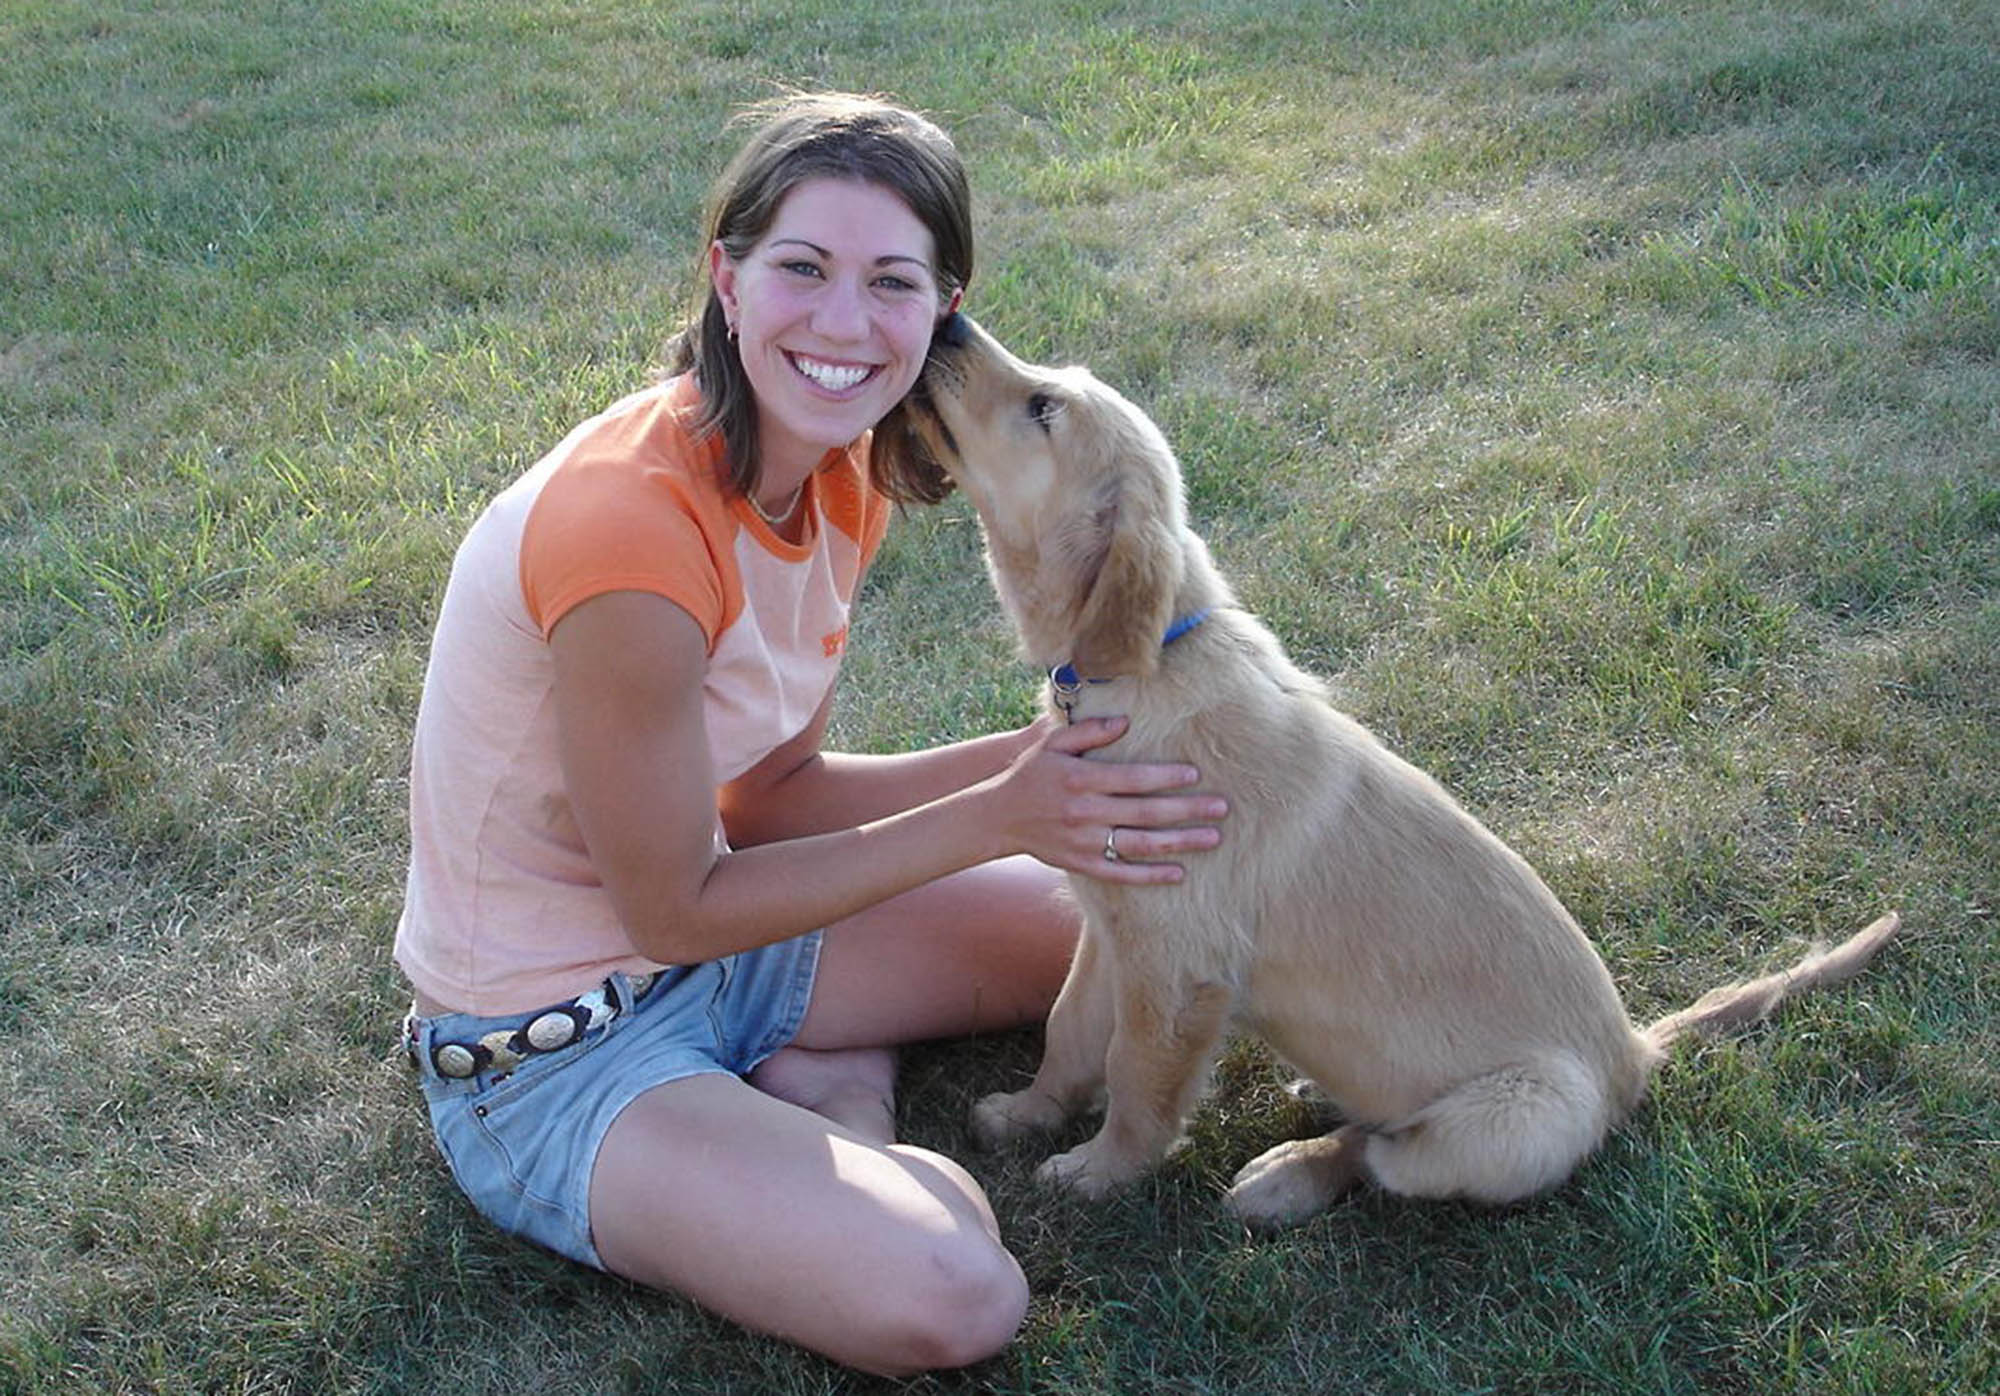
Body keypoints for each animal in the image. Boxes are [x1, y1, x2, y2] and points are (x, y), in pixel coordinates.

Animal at [916, 310, 1896, 1224]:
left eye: (1044, 407)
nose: (948, 319)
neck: (1148, 667)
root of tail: (1635, 1056)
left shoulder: (1177, 967)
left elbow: (1136, 1080)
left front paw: (1101, 1173)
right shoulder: (1110, 927)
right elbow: (1070, 1031)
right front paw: (1028, 1113)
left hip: (1513, 1118)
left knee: (1387, 1151)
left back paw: (1288, 1174)